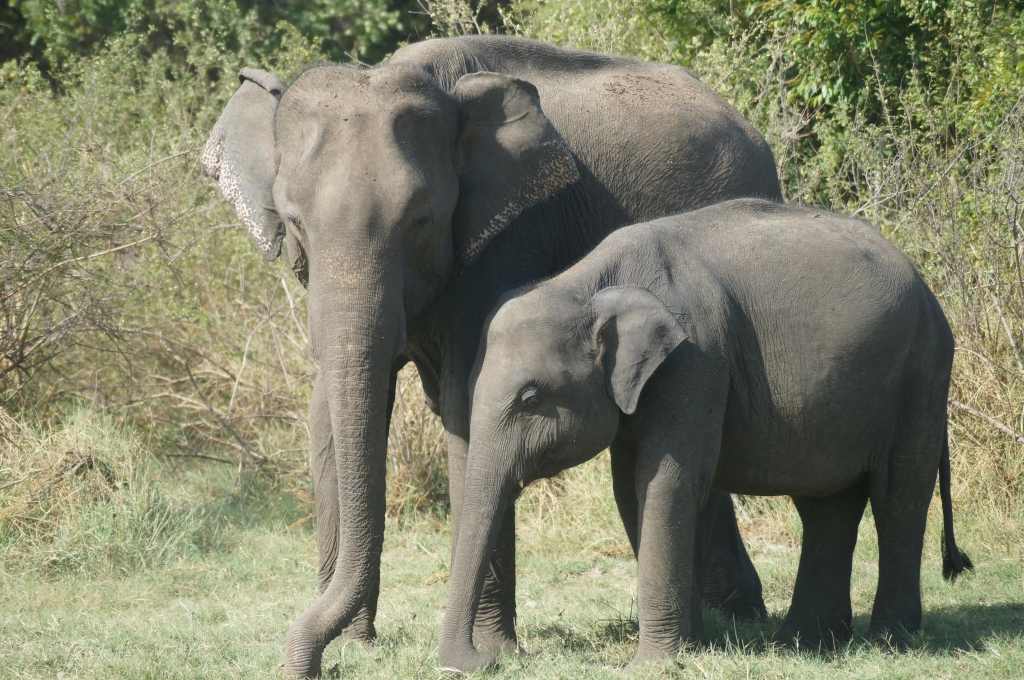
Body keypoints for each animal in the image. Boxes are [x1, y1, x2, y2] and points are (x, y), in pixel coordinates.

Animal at [200, 36, 782, 676]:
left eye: (422, 220)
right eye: (293, 221)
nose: (313, 660)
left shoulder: (506, 240)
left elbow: (465, 410)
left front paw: (488, 653)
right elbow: (330, 412)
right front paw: (355, 644)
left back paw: (735, 619)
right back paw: (731, 615)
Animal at [439, 198, 973, 672]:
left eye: (530, 398)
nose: (484, 662)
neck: (588, 284)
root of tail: (926, 287)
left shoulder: (696, 360)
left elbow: (666, 483)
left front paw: (654, 663)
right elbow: (633, 491)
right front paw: (691, 647)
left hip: (921, 374)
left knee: (898, 495)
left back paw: (889, 643)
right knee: (828, 504)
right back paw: (806, 642)